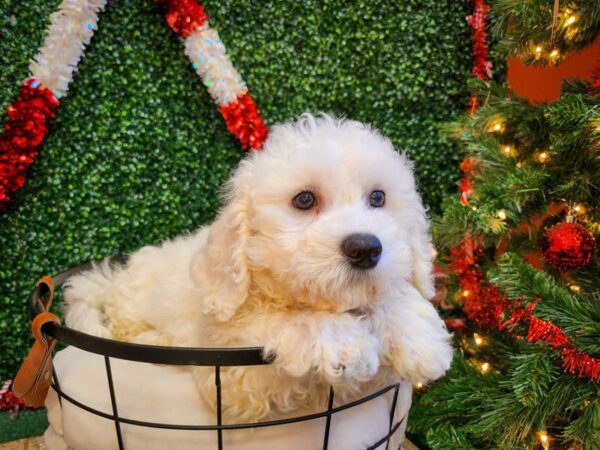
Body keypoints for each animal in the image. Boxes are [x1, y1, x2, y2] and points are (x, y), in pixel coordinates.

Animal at [63, 114, 452, 424]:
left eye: (378, 197)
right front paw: (342, 342)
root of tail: (114, 278)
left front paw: (415, 333)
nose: (366, 248)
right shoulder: (233, 381)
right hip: (134, 310)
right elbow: (277, 324)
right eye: (304, 200)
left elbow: (390, 298)